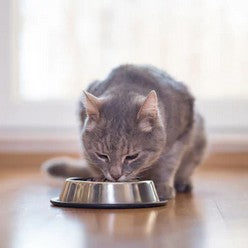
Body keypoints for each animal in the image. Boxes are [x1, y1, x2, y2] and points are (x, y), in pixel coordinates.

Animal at [43, 64, 207, 200]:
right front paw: (99, 178)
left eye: (132, 156)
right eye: (102, 155)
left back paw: (183, 183)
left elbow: (168, 163)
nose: (115, 175)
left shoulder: (180, 137)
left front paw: (162, 187)